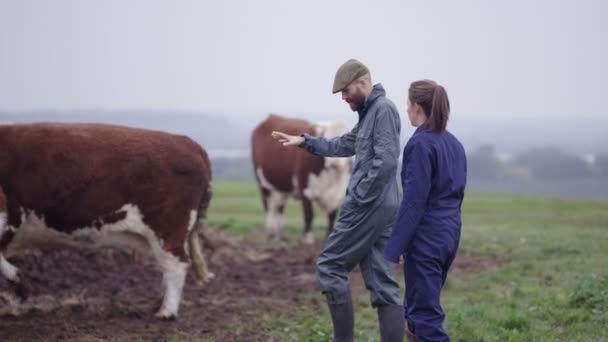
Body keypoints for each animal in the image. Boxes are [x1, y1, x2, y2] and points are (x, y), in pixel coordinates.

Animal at [249, 114, 350, 243]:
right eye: (326, 136)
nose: (335, 163)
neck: (331, 176)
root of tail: (271, 117)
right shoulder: (305, 189)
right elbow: (309, 214)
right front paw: (308, 239)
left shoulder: (337, 192)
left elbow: (332, 215)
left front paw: (328, 236)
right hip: (263, 183)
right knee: (269, 207)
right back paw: (270, 234)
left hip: (283, 186)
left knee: (280, 208)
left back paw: (280, 235)